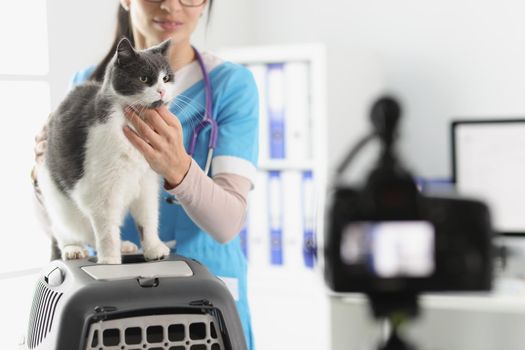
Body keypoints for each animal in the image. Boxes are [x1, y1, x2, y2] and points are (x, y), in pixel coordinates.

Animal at [37, 37, 176, 262]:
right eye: (144, 78)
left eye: (166, 78)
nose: (162, 91)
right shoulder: (102, 188)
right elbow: (106, 230)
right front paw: (110, 261)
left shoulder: (146, 182)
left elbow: (148, 218)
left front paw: (154, 249)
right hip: (57, 198)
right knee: (66, 228)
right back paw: (73, 249)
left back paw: (124, 246)